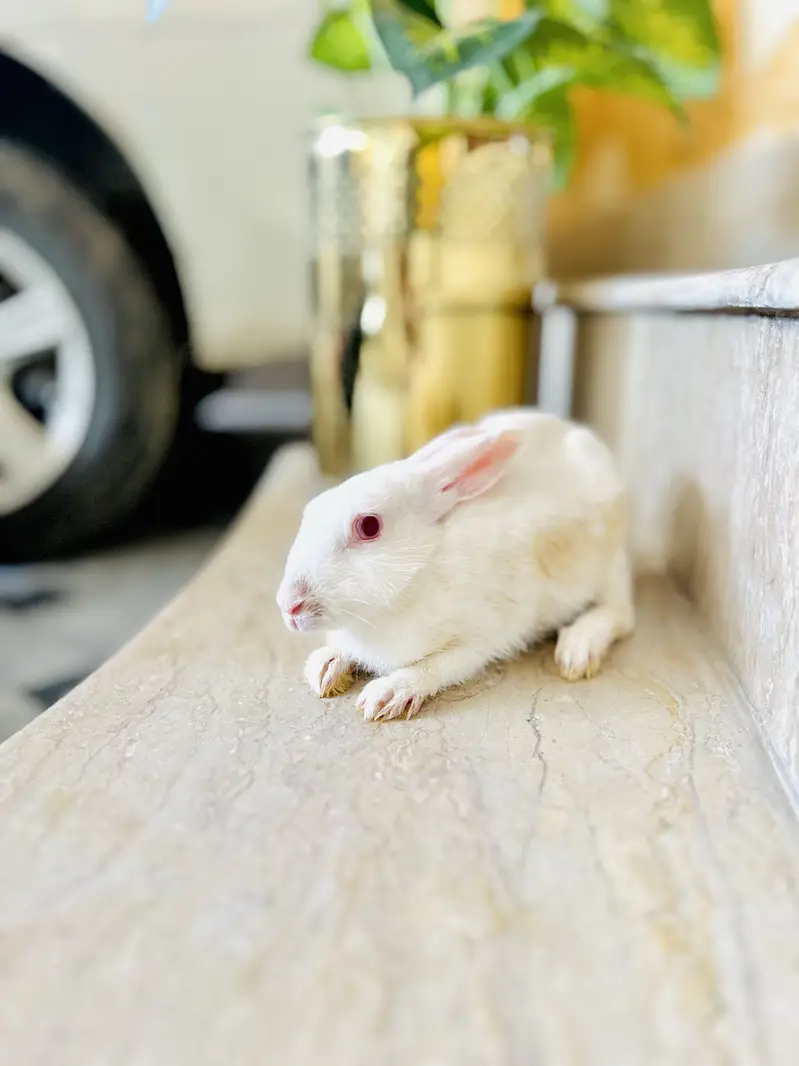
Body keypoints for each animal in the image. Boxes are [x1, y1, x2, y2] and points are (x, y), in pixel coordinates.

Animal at [276, 408, 634, 722]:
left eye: (368, 526)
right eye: (311, 509)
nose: (288, 605)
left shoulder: (484, 639)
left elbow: (437, 667)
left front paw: (386, 696)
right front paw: (324, 668)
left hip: (609, 569)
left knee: (620, 615)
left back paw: (577, 649)